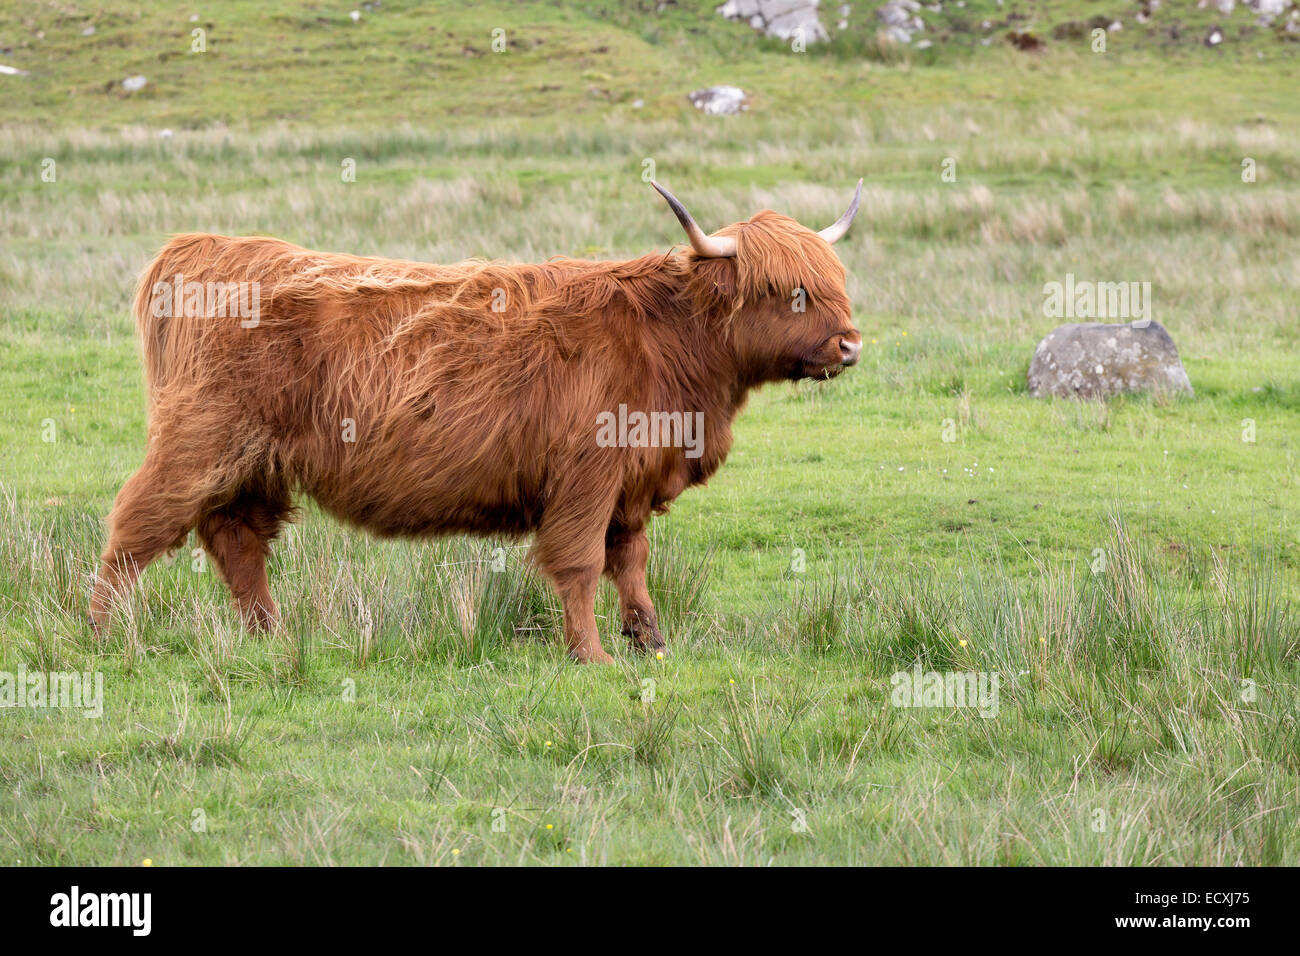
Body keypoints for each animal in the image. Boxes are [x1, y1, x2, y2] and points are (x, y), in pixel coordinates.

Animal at [91, 184, 863, 665]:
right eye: (786, 290)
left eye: (837, 282)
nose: (851, 345)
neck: (668, 339)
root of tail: (205, 247)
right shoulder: (586, 477)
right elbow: (581, 564)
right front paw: (591, 654)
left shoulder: (630, 484)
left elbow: (632, 564)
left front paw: (651, 642)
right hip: (199, 442)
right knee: (135, 525)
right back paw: (101, 631)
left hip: (255, 464)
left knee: (238, 541)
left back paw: (270, 636)